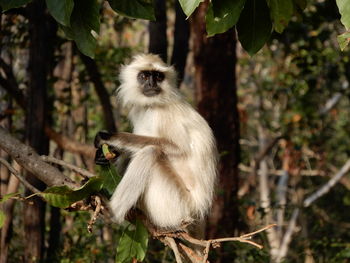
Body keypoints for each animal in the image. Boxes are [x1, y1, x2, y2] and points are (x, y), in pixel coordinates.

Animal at [94, 54, 217, 231]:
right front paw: (103, 156)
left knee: (150, 152)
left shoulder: (165, 112)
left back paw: (112, 213)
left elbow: (178, 147)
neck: (152, 105)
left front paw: (110, 138)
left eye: (158, 76)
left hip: (175, 206)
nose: (152, 84)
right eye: (145, 76)